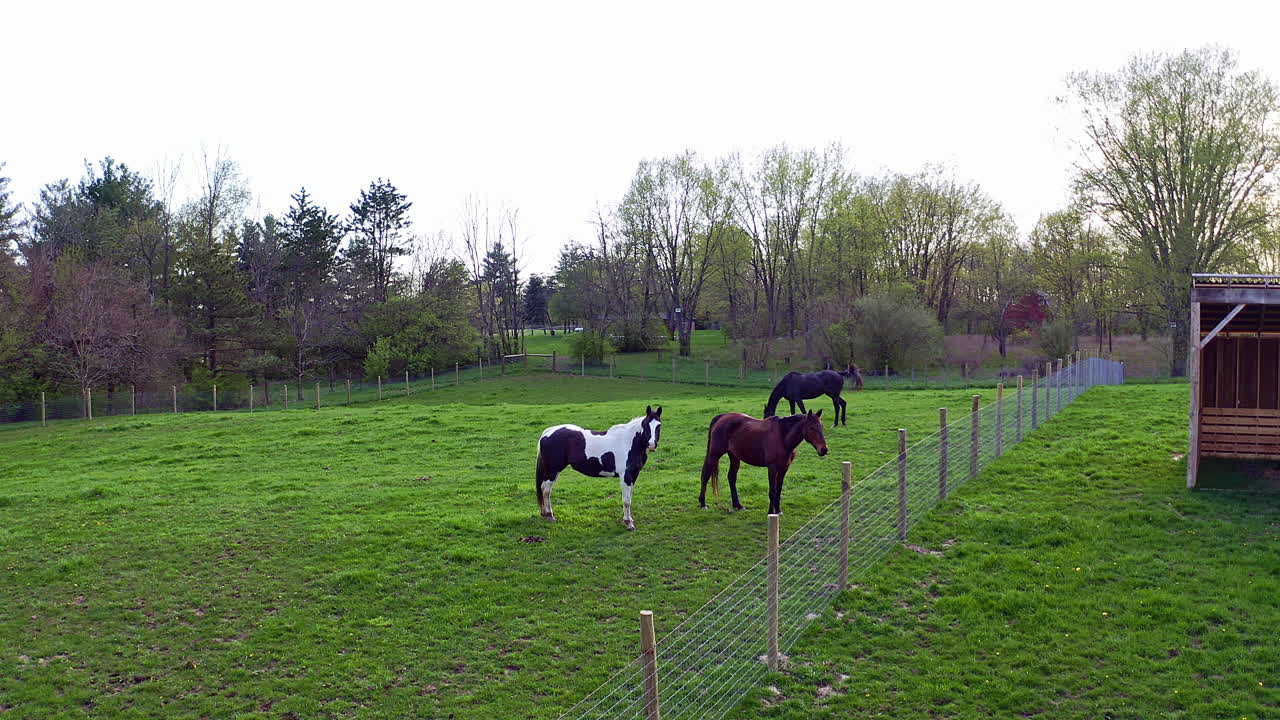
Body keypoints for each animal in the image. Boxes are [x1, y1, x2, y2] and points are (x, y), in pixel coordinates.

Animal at [699, 410, 828, 515]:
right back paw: (703, 503)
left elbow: (778, 491)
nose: (824, 449)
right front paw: (771, 512)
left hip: (734, 457)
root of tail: (722, 417)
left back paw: (738, 505)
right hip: (714, 455)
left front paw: (778, 511)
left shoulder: (784, 468)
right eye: (811, 428)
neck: (782, 437)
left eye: (821, 426)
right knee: (705, 476)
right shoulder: (772, 468)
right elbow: (772, 491)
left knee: (731, 478)